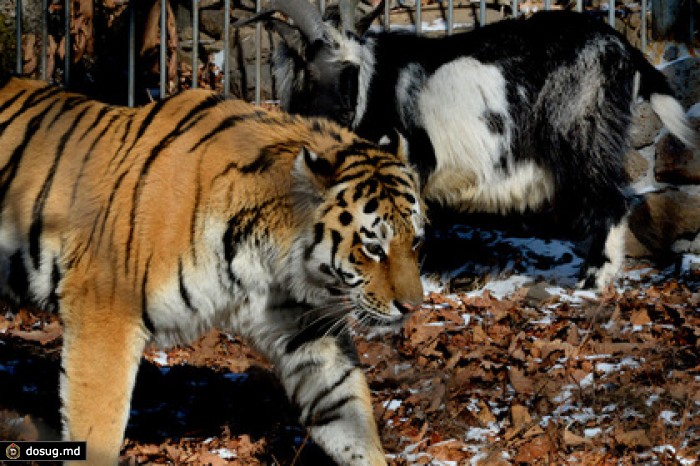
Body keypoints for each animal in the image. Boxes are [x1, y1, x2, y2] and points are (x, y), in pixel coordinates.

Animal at [0, 78, 426, 464]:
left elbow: (348, 412)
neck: (268, 259)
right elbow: (98, 424)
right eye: (373, 248)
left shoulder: (305, 331)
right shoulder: (104, 312)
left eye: (416, 242)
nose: (413, 308)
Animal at [241, 0, 696, 290]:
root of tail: (623, 47)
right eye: (313, 64)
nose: (345, 115)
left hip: (584, 135)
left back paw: (593, 280)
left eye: (350, 70)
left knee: (611, 201)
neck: (373, 85)